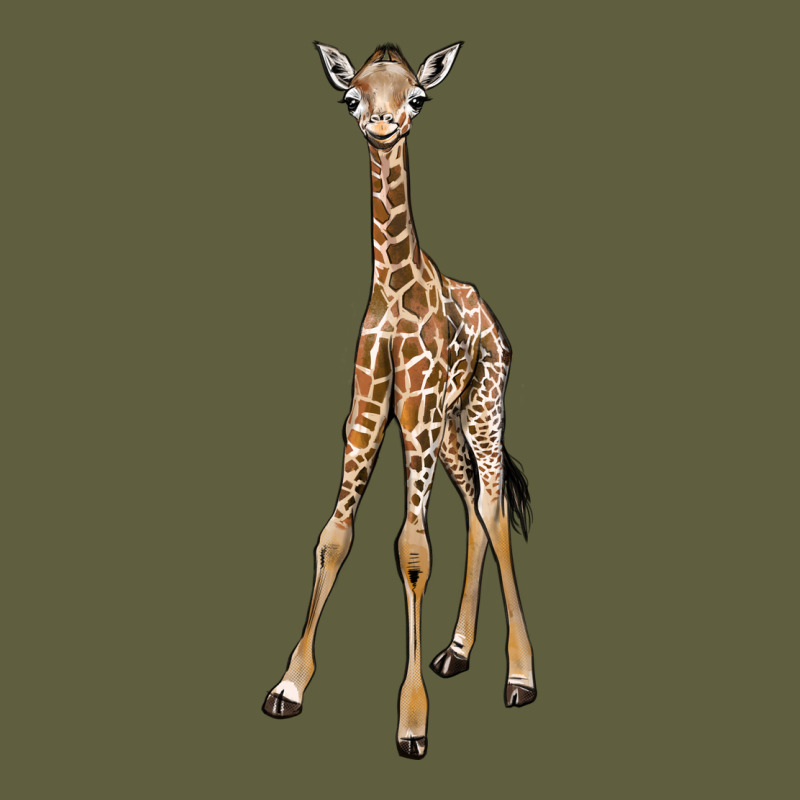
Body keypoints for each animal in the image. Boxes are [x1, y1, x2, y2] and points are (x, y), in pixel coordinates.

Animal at [263, 42, 537, 760]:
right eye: (351, 96)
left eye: (416, 96)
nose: (382, 126)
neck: (393, 288)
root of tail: (495, 322)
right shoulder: (365, 418)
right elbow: (333, 537)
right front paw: (289, 685)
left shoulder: (411, 419)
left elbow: (413, 551)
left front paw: (412, 723)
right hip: (448, 426)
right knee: (475, 509)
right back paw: (457, 651)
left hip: (481, 409)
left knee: (494, 507)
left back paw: (520, 676)